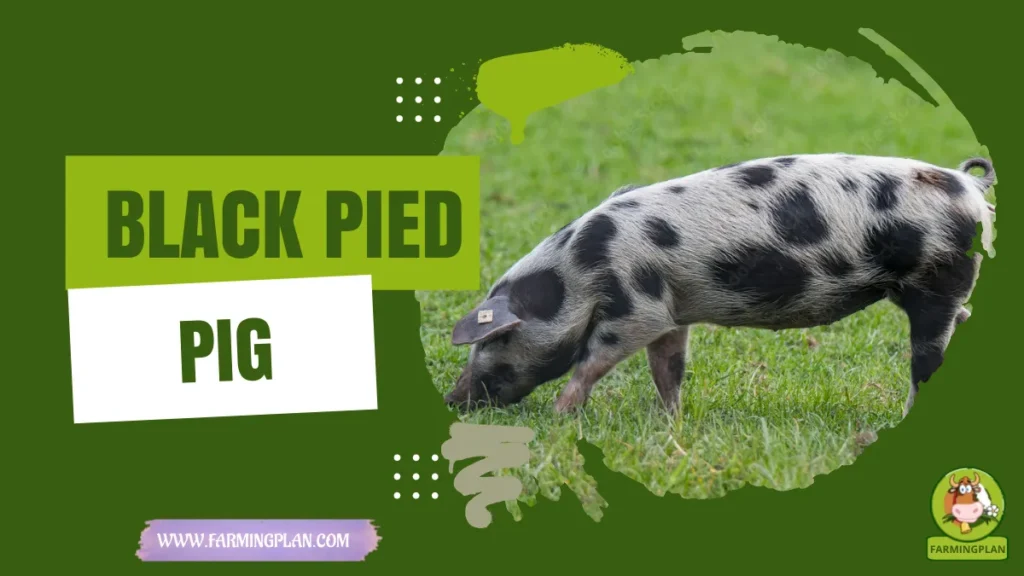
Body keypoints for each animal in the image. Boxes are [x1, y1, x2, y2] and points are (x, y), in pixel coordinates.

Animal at [444, 153, 996, 419]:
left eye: (492, 340)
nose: (452, 398)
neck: (580, 267)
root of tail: (972, 187)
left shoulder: (636, 305)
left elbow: (593, 359)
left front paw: (561, 416)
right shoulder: (670, 311)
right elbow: (668, 369)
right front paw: (670, 423)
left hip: (938, 280)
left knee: (927, 360)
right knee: (963, 319)